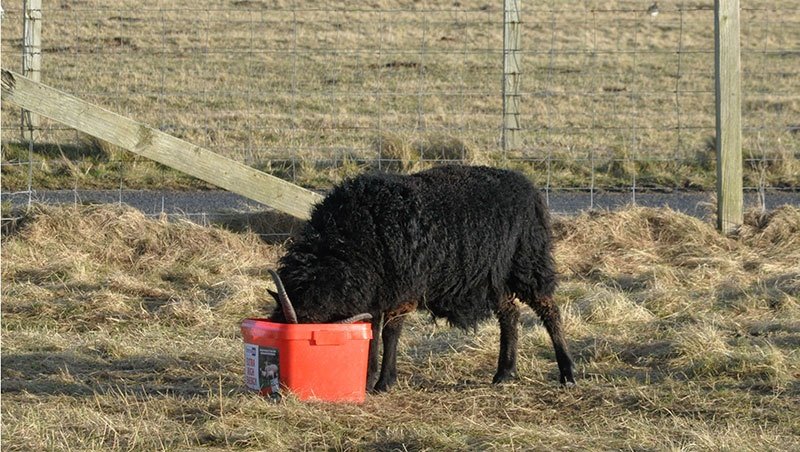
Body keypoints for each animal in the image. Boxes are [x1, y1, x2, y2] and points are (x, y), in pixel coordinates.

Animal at [268, 165, 576, 392]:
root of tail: (529, 187)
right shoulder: (377, 292)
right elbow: (373, 333)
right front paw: (367, 379)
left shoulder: (404, 288)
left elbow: (391, 332)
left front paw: (384, 383)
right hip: (493, 276)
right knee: (510, 315)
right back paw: (504, 373)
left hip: (527, 260)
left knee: (549, 310)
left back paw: (567, 373)